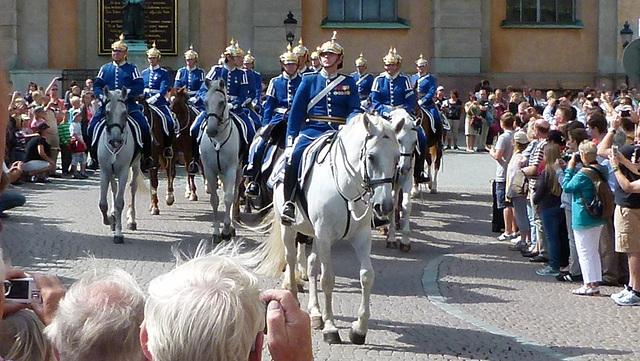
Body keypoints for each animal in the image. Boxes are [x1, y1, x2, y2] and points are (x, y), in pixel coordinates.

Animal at [96, 87, 141, 243]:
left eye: (125, 112)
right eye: (106, 112)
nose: (115, 140)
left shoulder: (123, 172)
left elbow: (119, 203)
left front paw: (118, 233)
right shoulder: (104, 171)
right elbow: (103, 203)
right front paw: (109, 220)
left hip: (136, 166)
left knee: (133, 188)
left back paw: (132, 221)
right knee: (113, 188)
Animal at [200, 78, 242, 242]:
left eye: (222, 102)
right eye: (205, 102)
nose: (211, 131)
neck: (218, 139)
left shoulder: (231, 169)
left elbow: (229, 198)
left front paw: (226, 230)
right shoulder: (209, 171)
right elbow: (215, 200)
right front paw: (217, 231)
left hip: (238, 172)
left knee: (235, 195)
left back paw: (232, 226)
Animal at [254, 114, 400, 344]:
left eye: (396, 158)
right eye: (371, 157)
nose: (384, 206)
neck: (348, 187)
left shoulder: (360, 236)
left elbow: (367, 276)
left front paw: (359, 329)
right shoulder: (324, 237)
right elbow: (328, 280)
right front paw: (331, 327)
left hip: (314, 235)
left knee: (312, 266)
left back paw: (315, 313)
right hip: (291, 229)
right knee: (291, 258)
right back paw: (293, 299)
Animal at [384, 108, 420, 252]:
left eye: (415, 142)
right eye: (399, 140)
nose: (404, 168)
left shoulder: (406, 180)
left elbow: (405, 205)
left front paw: (405, 240)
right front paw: (392, 238)